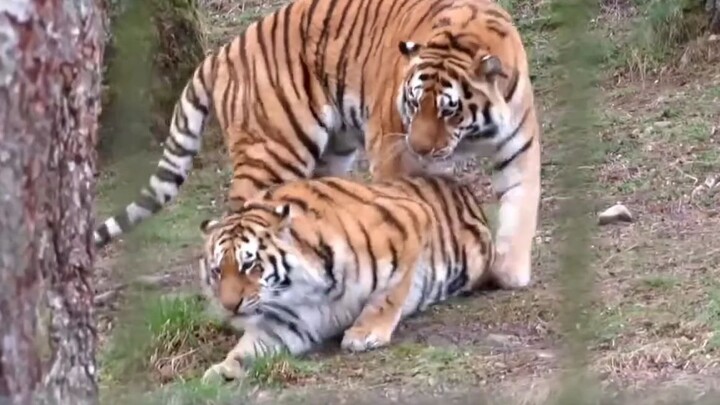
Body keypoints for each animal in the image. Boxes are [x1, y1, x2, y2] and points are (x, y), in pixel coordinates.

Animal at [93, 0, 540, 289]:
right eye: (414, 103)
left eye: (449, 110)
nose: (419, 147)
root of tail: (222, 52)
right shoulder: (392, 151)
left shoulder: (519, 149)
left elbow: (520, 207)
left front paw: (510, 273)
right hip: (274, 151)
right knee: (236, 218)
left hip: (331, 153)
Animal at [196, 174, 495, 383]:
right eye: (217, 271)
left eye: (249, 265)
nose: (229, 306)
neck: (305, 290)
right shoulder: (288, 320)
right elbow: (250, 346)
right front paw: (223, 369)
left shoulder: (412, 218)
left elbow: (389, 293)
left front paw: (365, 333)